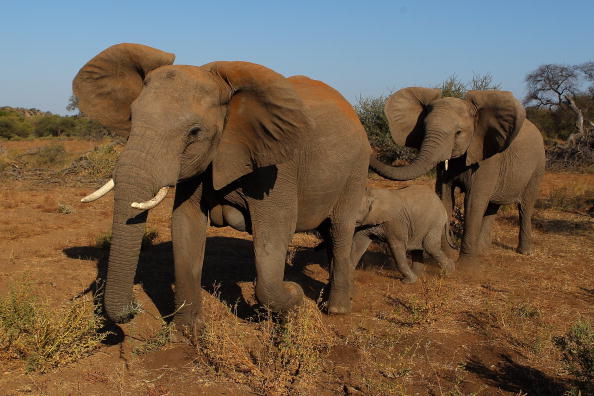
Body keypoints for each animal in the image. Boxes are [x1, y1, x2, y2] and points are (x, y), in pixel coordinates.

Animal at [74, 42, 370, 334]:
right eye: (132, 118)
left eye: (194, 132)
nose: (134, 309)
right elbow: (185, 225)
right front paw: (188, 332)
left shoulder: (276, 166)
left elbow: (274, 232)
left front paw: (294, 296)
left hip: (356, 169)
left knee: (340, 230)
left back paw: (336, 309)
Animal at [368, 88, 544, 264]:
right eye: (423, 128)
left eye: (458, 133)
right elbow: (445, 195)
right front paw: (448, 254)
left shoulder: (488, 156)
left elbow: (474, 200)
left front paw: (465, 265)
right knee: (492, 206)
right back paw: (482, 251)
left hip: (537, 166)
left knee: (525, 206)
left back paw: (525, 252)